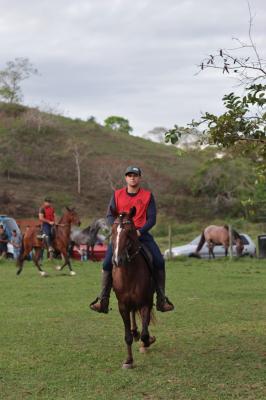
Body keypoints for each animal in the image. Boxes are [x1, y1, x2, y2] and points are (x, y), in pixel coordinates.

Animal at [110, 206, 156, 368]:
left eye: (129, 231)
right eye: (112, 230)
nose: (117, 260)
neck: (129, 273)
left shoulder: (146, 303)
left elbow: (145, 333)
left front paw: (147, 342)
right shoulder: (122, 305)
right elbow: (127, 336)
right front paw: (129, 360)